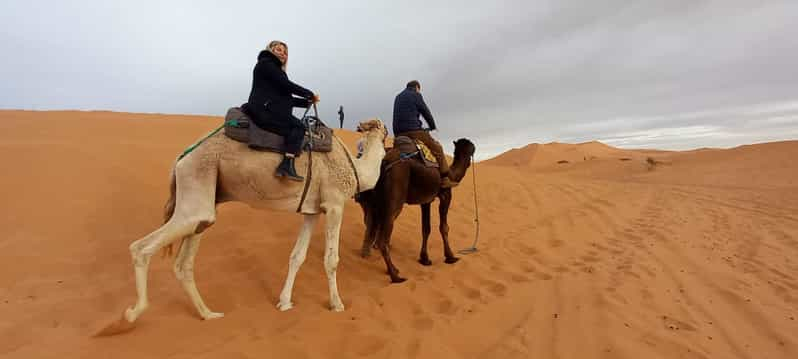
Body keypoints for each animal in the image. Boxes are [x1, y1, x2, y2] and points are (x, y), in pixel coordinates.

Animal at [358, 138, 476, 284]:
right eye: (471, 148)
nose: (473, 152)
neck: (452, 174)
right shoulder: (446, 195)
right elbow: (444, 227)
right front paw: (450, 257)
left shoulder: (426, 201)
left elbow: (426, 228)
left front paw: (424, 259)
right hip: (394, 198)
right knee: (382, 238)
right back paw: (395, 276)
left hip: (374, 201)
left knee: (372, 226)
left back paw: (391, 268)